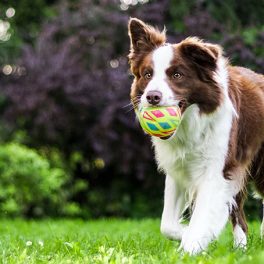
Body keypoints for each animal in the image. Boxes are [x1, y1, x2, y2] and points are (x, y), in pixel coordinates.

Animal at [128, 18, 264, 254]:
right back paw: (240, 249)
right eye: (147, 74)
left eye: (177, 75)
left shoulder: (217, 170)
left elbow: (202, 215)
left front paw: (191, 246)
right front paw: (190, 234)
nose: (152, 97)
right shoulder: (178, 169)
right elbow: (166, 225)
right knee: (238, 212)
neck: (190, 125)